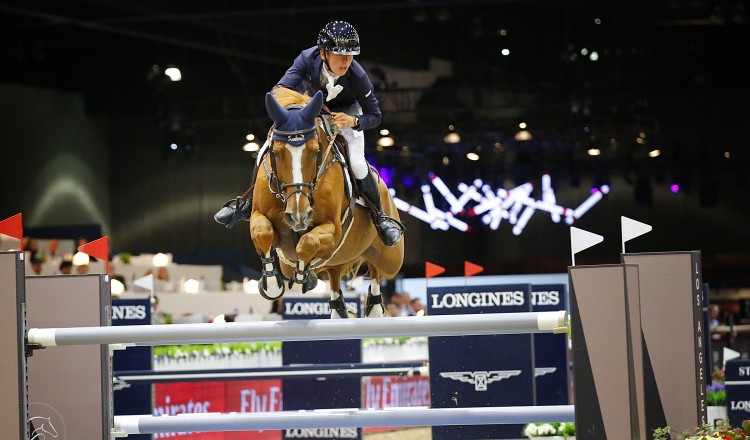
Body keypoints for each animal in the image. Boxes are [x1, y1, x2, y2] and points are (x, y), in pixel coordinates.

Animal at [250, 87, 406, 318]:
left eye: (316, 151)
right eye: (276, 153)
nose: (298, 215)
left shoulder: (333, 229)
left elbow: (307, 242)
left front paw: (303, 277)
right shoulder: (258, 216)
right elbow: (263, 232)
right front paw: (272, 284)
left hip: (391, 259)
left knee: (377, 271)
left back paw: (374, 306)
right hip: (337, 262)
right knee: (334, 277)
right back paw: (339, 306)